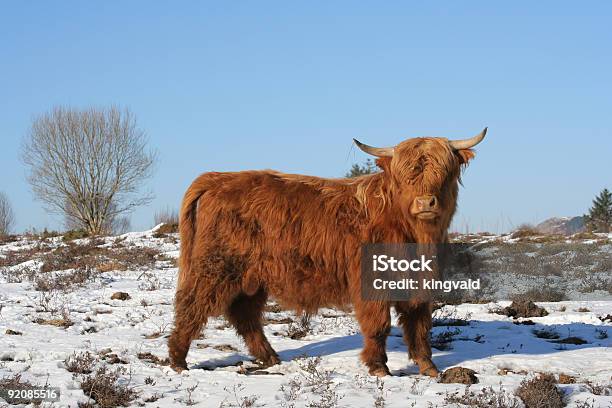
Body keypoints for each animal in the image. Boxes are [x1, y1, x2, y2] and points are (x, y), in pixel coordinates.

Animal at [167, 129, 488, 378]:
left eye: (444, 173)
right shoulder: (371, 281)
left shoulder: (418, 282)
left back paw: (270, 357)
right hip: (215, 266)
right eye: (404, 177)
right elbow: (379, 325)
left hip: (252, 277)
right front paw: (378, 367)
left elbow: (419, 324)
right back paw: (178, 360)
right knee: (192, 306)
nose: (425, 202)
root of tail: (218, 178)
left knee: (244, 314)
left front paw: (428, 366)